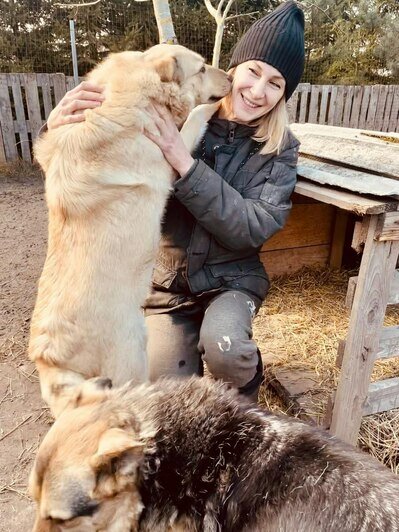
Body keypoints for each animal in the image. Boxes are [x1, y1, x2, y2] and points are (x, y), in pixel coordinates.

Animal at [28, 45, 231, 418]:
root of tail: (50, 361)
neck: (141, 82)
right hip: (134, 354)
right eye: (202, 68)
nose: (233, 78)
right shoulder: (173, 153)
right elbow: (196, 115)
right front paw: (213, 106)